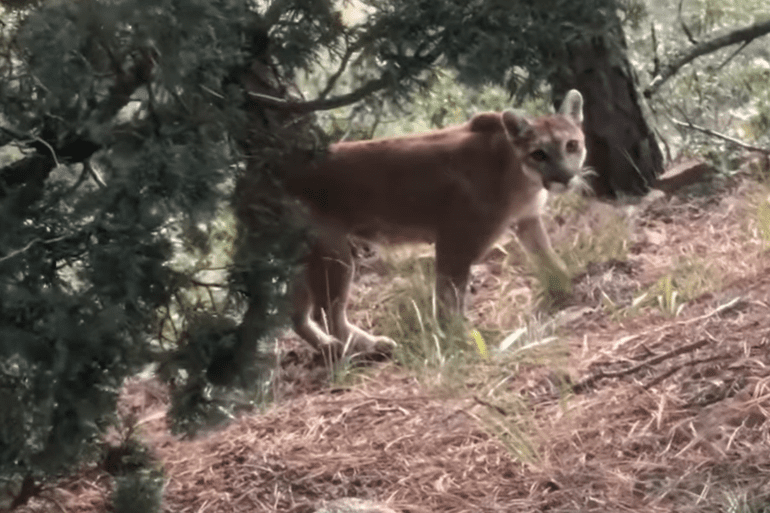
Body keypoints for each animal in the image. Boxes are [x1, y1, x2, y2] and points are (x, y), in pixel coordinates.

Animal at [282, 89, 587, 356]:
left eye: (571, 145)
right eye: (539, 153)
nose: (564, 178)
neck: (519, 174)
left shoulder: (527, 220)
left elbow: (548, 258)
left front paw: (566, 287)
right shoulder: (455, 241)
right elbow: (448, 298)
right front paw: (457, 337)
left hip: (305, 259)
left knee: (297, 316)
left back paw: (330, 348)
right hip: (332, 251)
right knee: (326, 314)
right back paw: (370, 346)